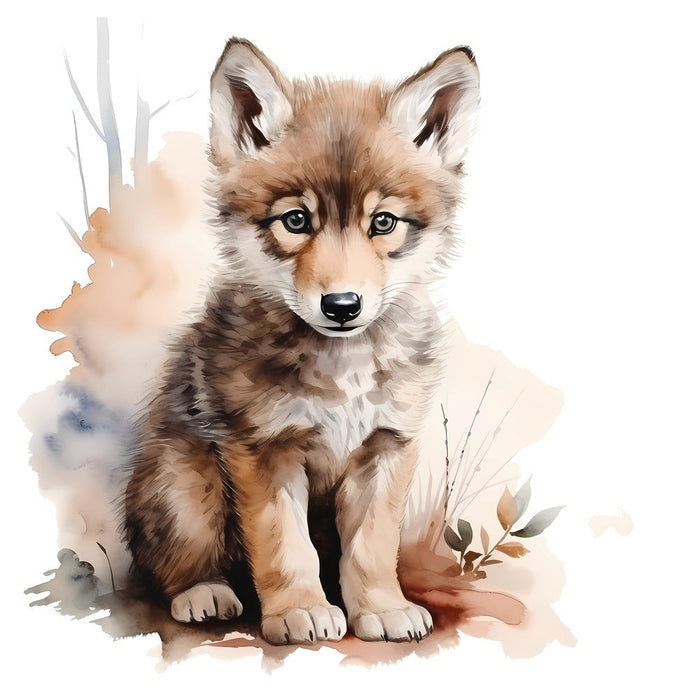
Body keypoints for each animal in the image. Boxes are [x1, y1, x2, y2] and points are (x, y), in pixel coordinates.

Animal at [123, 37, 480, 644]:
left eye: (383, 223)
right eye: (295, 220)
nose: (342, 306)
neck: (344, 367)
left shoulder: (386, 448)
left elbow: (372, 548)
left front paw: (382, 609)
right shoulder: (263, 449)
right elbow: (286, 547)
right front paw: (299, 611)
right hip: (185, 478)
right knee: (173, 558)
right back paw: (204, 591)